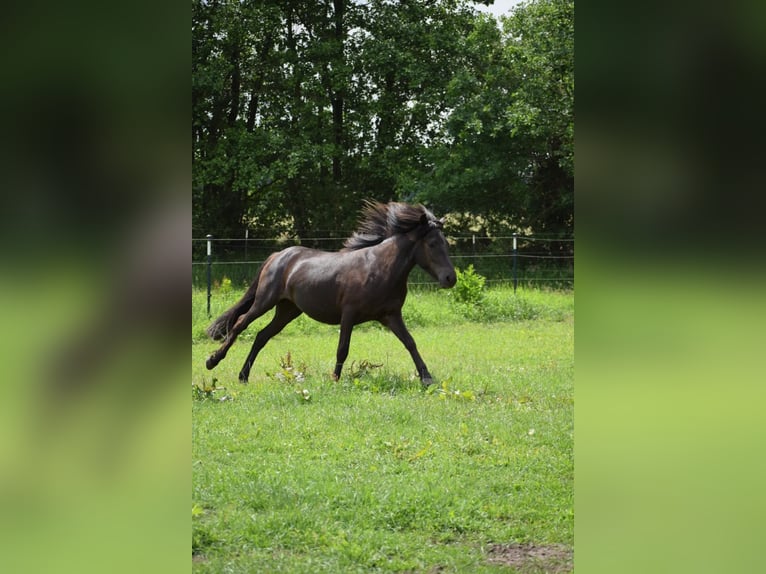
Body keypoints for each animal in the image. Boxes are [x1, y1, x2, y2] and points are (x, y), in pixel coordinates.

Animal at [205, 201, 457, 385]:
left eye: (445, 243)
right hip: (264, 301)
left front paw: (427, 378)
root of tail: (278, 256)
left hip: (287, 310)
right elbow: (343, 348)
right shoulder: (349, 314)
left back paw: (243, 376)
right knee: (240, 324)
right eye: (432, 244)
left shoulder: (391, 315)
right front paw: (335, 379)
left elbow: (410, 342)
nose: (450, 278)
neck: (379, 269)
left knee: (261, 336)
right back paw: (212, 361)